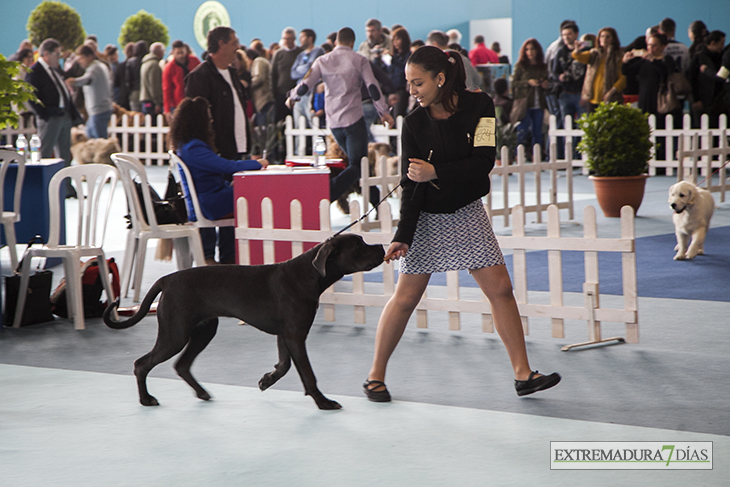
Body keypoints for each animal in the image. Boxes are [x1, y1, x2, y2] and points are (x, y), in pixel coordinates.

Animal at [104, 234, 386, 410]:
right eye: (359, 246)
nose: (383, 246)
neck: (309, 274)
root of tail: (166, 279)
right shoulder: (295, 334)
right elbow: (307, 373)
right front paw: (323, 402)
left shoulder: (285, 334)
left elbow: (284, 365)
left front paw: (267, 380)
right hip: (175, 334)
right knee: (142, 364)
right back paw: (146, 399)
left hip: (203, 331)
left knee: (181, 365)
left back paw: (201, 392)